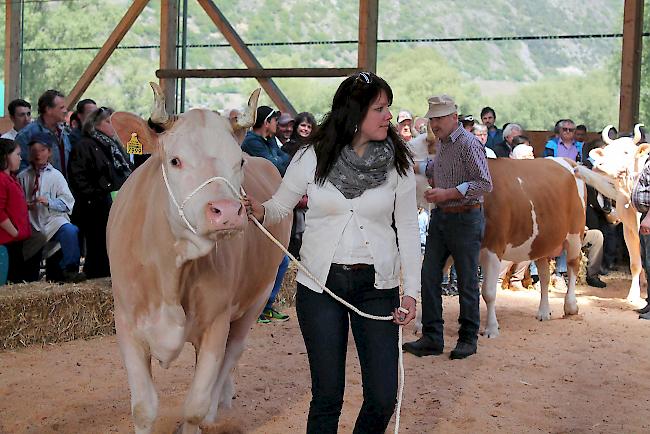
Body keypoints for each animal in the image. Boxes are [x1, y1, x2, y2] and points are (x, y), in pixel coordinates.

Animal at [107, 83, 290, 432]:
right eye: (175, 160)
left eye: (239, 162)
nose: (228, 211)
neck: (170, 269)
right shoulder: (126, 323)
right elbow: (143, 408)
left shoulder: (216, 323)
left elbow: (194, 405)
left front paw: (197, 417)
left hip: (257, 297)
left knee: (232, 354)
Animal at [576, 124, 644, 304]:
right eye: (607, 151)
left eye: (626, 152)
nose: (600, 165)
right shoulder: (629, 228)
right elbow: (635, 263)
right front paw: (633, 295)